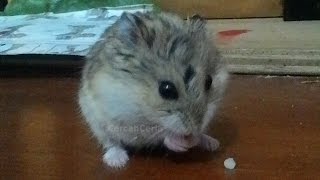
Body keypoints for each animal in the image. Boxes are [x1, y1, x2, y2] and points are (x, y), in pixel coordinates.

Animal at [78, 11, 228, 168]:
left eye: (209, 81)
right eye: (166, 89)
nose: (194, 129)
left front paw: (195, 139)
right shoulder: (127, 119)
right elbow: (159, 133)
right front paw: (183, 143)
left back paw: (212, 143)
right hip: (96, 124)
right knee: (111, 143)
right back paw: (117, 161)